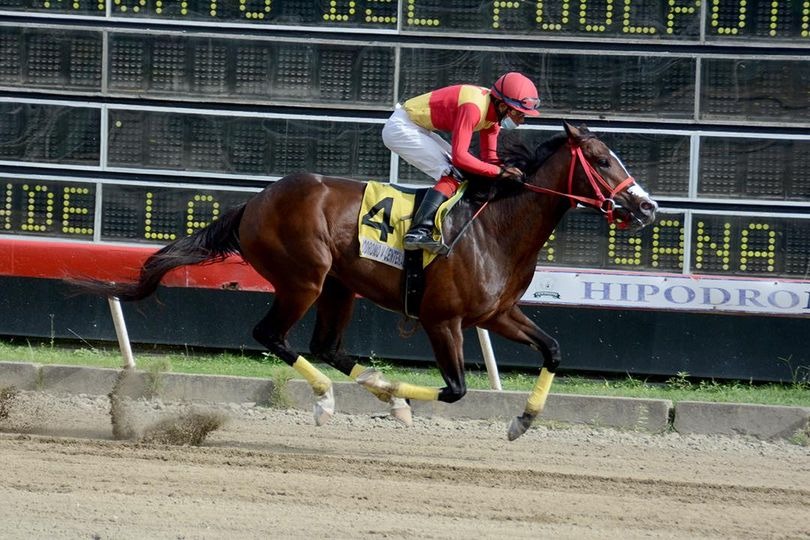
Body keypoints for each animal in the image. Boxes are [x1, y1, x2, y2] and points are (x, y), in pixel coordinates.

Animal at [74, 121, 656, 438]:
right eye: (601, 159)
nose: (647, 206)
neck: (494, 227)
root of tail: (254, 202)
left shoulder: (496, 314)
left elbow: (553, 349)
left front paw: (522, 422)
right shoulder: (442, 319)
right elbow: (456, 389)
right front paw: (405, 400)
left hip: (340, 286)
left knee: (327, 345)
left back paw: (381, 394)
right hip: (304, 280)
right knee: (273, 336)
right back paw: (329, 401)